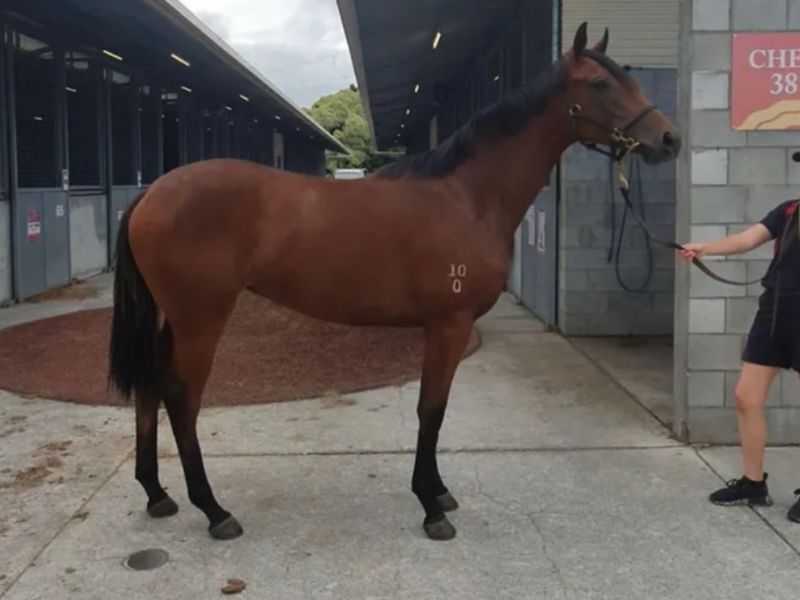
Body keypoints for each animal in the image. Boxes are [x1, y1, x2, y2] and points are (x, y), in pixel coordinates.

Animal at [109, 23, 681, 542]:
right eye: (599, 84)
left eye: (629, 78)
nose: (669, 139)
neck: (467, 197)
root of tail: (151, 193)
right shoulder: (448, 325)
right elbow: (432, 409)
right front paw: (431, 507)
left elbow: (435, 410)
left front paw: (439, 492)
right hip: (201, 319)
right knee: (181, 397)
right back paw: (214, 511)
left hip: (170, 319)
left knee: (151, 388)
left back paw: (157, 495)